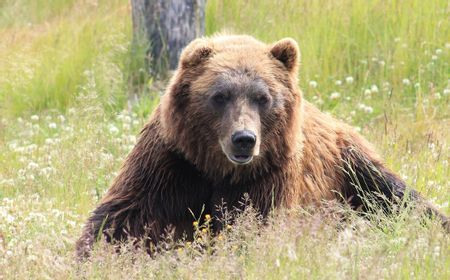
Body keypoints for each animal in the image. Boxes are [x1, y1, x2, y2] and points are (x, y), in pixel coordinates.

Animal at [75, 34, 448, 258]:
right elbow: (124, 217)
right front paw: (92, 254)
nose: (244, 138)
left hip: (351, 166)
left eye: (263, 97)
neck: (219, 169)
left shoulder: (269, 175)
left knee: (397, 197)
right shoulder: (173, 163)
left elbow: (253, 227)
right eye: (220, 95)